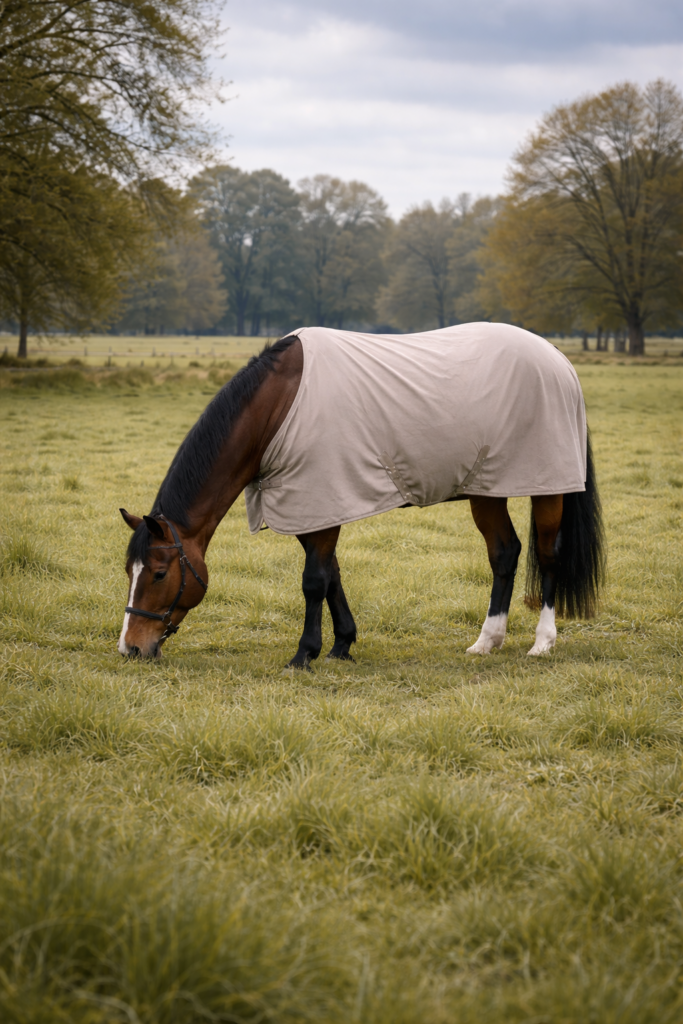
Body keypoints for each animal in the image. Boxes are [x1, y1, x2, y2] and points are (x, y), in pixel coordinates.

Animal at [118, 323, 605, 664]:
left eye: (158, 574)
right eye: (130, 572)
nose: (131, 648)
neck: (280, 407)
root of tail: (558, 360)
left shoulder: (321, 498)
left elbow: (314, 581)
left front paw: (305, 653)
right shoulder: (311, 505)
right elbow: (331, 575)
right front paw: (341, 645)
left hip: (548, 487)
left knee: (549, 555)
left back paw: (542, 642)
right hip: (486, 488)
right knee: (505, 554)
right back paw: (487, 641)